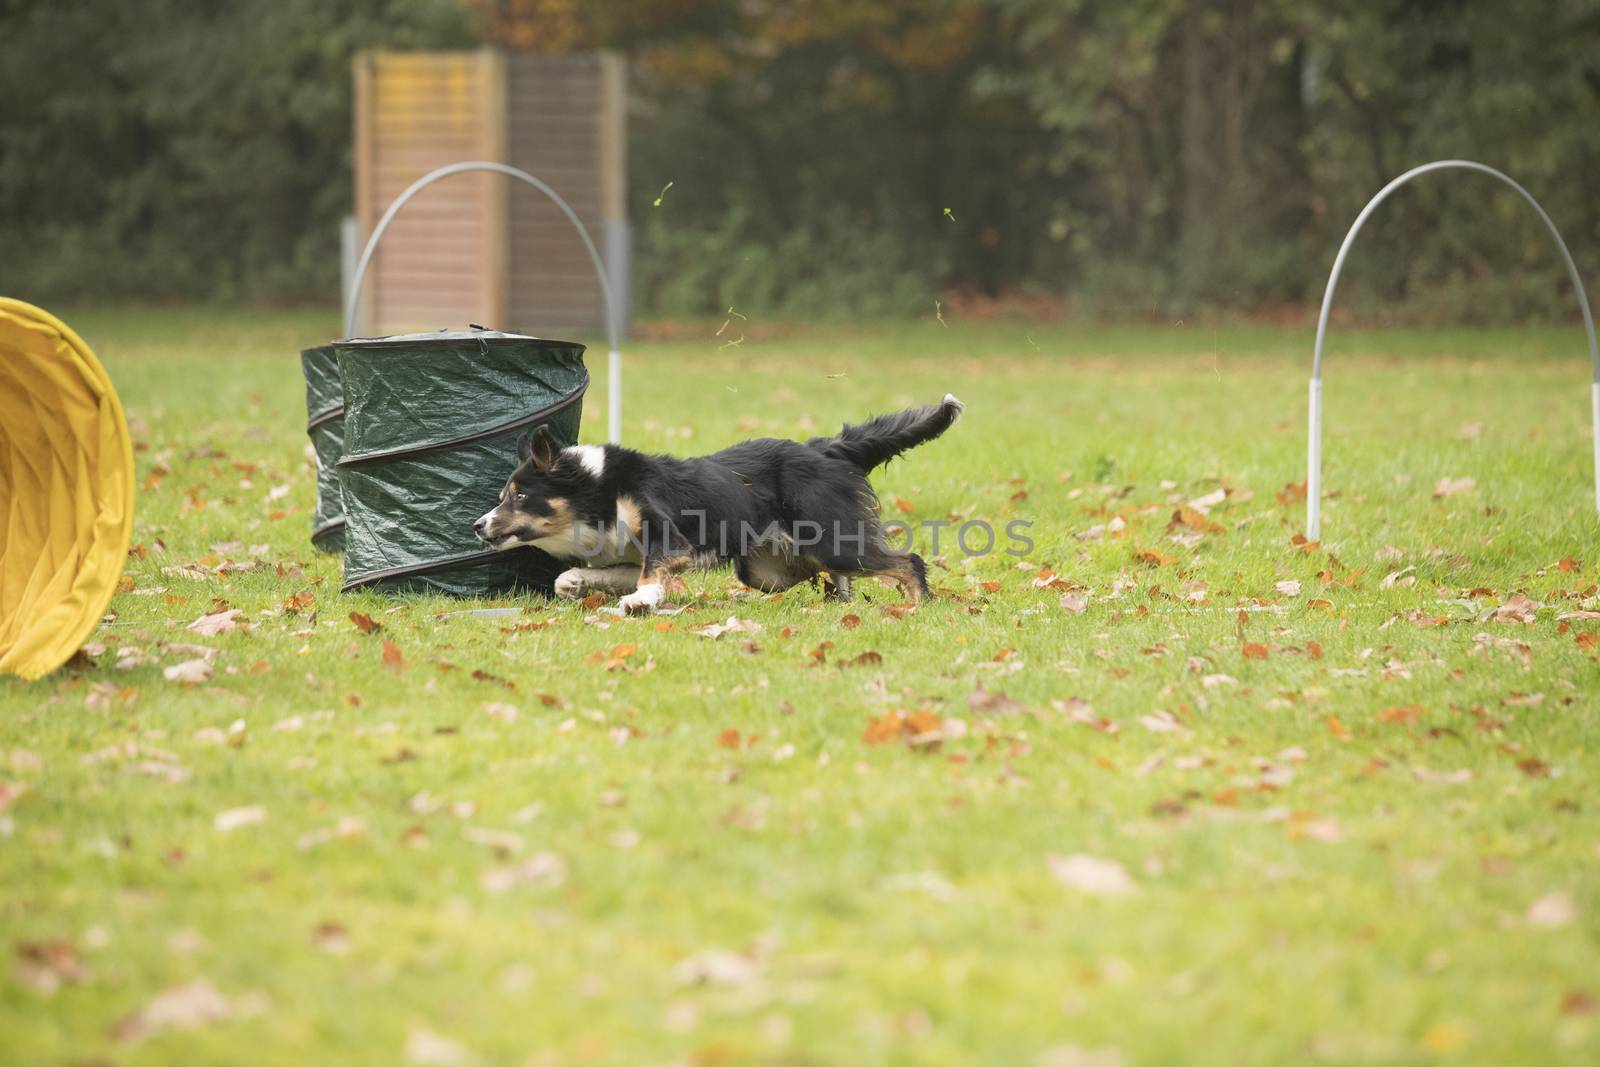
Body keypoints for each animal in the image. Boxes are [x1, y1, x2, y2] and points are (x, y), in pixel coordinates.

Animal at [467, 395, 960, 614]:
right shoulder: (630, 552)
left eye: (520, 496)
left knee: (908, 560)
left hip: (830, 539)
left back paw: (918, 605)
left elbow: (650, 573)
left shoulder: (669, 539)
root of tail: (825, 448)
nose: (478, 525)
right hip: (767, 571)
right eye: (503, 496)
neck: (600, 490)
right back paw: (841, 602)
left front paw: (642, 599)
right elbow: (602, 573)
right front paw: (575, 582)